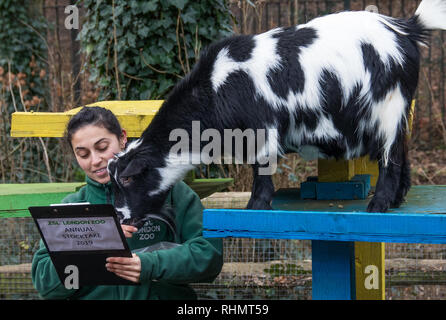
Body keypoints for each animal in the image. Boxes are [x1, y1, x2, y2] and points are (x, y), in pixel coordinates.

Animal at [107, 0, 446, 230]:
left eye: (128, 178)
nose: (120, 217)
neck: (216, 88)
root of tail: (405, 28)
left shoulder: (261, 129)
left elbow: (262, 169)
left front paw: (254, 206)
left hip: (387, 106)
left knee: (391, 155)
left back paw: (378, 206)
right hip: (397, 111)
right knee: (402, 149)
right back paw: (398, 200)